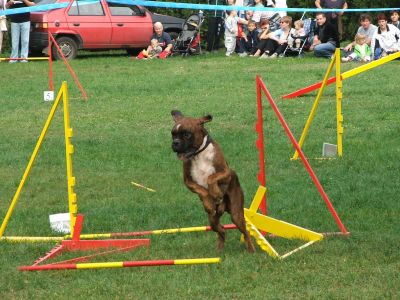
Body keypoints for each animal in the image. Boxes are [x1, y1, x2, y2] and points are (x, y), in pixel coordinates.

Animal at [170, 109, 255, 252]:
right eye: (173, 134)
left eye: (187, 134)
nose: (175, 143)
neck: (198, 154)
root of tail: (222, 209)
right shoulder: (188, 182)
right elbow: (202, 190)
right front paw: (209, 201)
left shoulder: (226, 173)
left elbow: (211, 178)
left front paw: (216, 193)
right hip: (212, 219)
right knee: (222, 231)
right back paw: (219, 250)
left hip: (236, 215)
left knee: (245, 232)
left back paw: (251, 249)